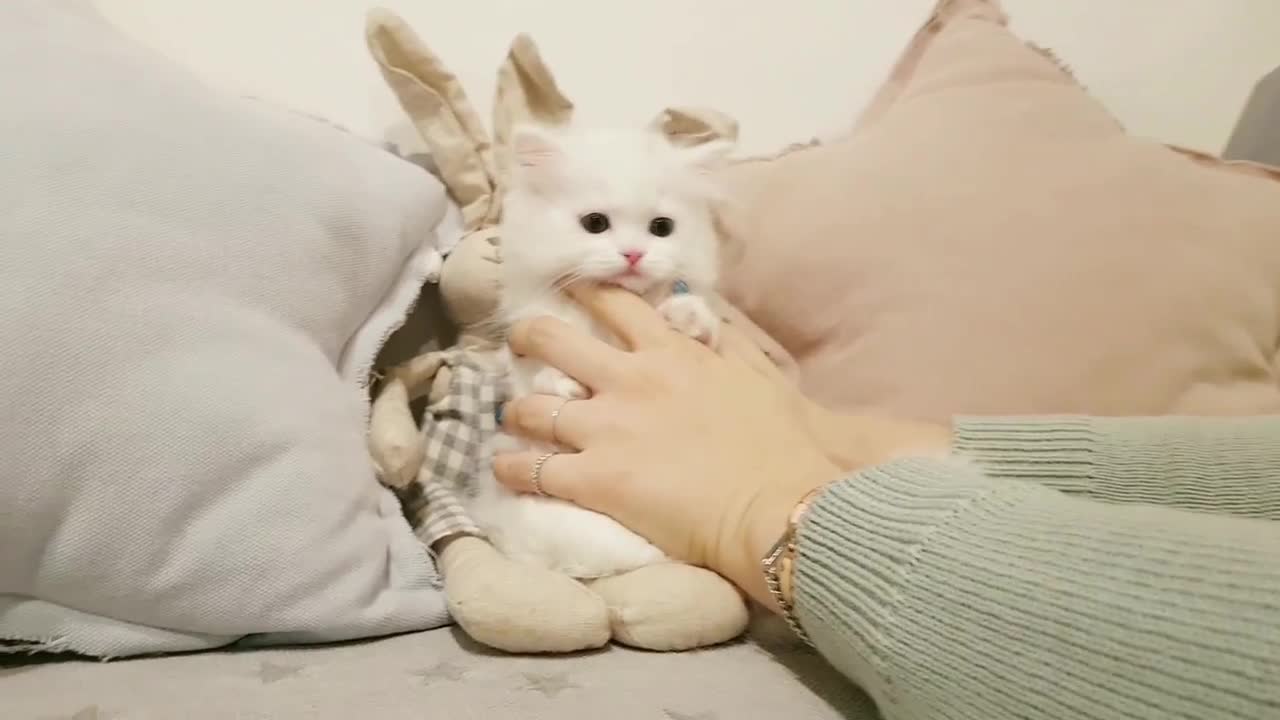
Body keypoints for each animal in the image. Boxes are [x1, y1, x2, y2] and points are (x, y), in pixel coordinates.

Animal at [468, 120, 732, 573]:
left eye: (662, 228)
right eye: (595, 223)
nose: (633, 254)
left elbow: (698, 321)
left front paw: (686, 317)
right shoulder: (531, 339)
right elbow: (540, 375)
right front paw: (565, 385)